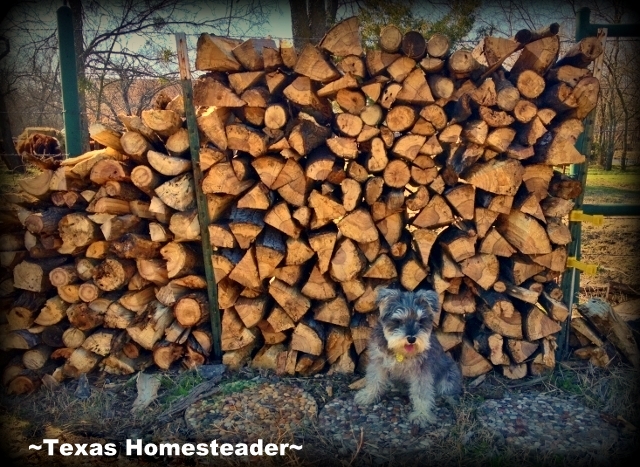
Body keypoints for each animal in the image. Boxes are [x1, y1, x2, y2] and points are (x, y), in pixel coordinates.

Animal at [352, 288, 462, 426]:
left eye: (421, 321)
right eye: (398, 321)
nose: (411, 339)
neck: (401, 352)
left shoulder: (421, 371)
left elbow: (421, 393)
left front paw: (421, 415)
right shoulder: (378, 362)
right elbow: (375, 380)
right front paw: (368, 396)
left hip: (449, 377)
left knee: (449, 391)